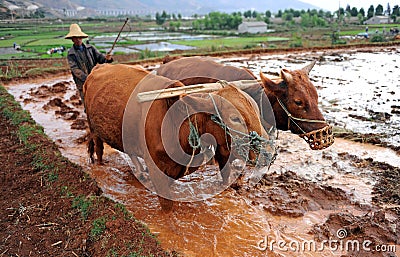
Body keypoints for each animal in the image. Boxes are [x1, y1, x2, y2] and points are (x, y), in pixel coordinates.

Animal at [82, 63, 268, 209]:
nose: (267, 151)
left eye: (257, 109)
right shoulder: (158, 172)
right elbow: (167, 206)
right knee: (98, 149)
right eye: (234, 118)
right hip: (94, 130)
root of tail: (98, 67)